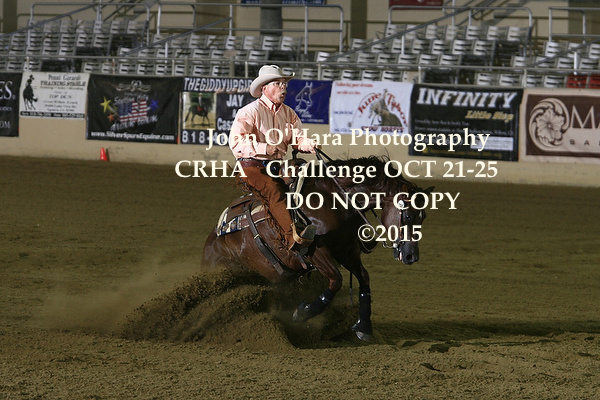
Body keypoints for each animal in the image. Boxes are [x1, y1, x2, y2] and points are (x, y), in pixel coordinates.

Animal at [202, 154, 433, 341]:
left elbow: (364, 279)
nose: (411, 256)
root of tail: (210, 244)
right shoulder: (316, 250)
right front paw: (303, 312)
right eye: (408, 215)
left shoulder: (347, 250)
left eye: (423, 217)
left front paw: (364, 327)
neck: (335, 201)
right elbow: (336, 280)